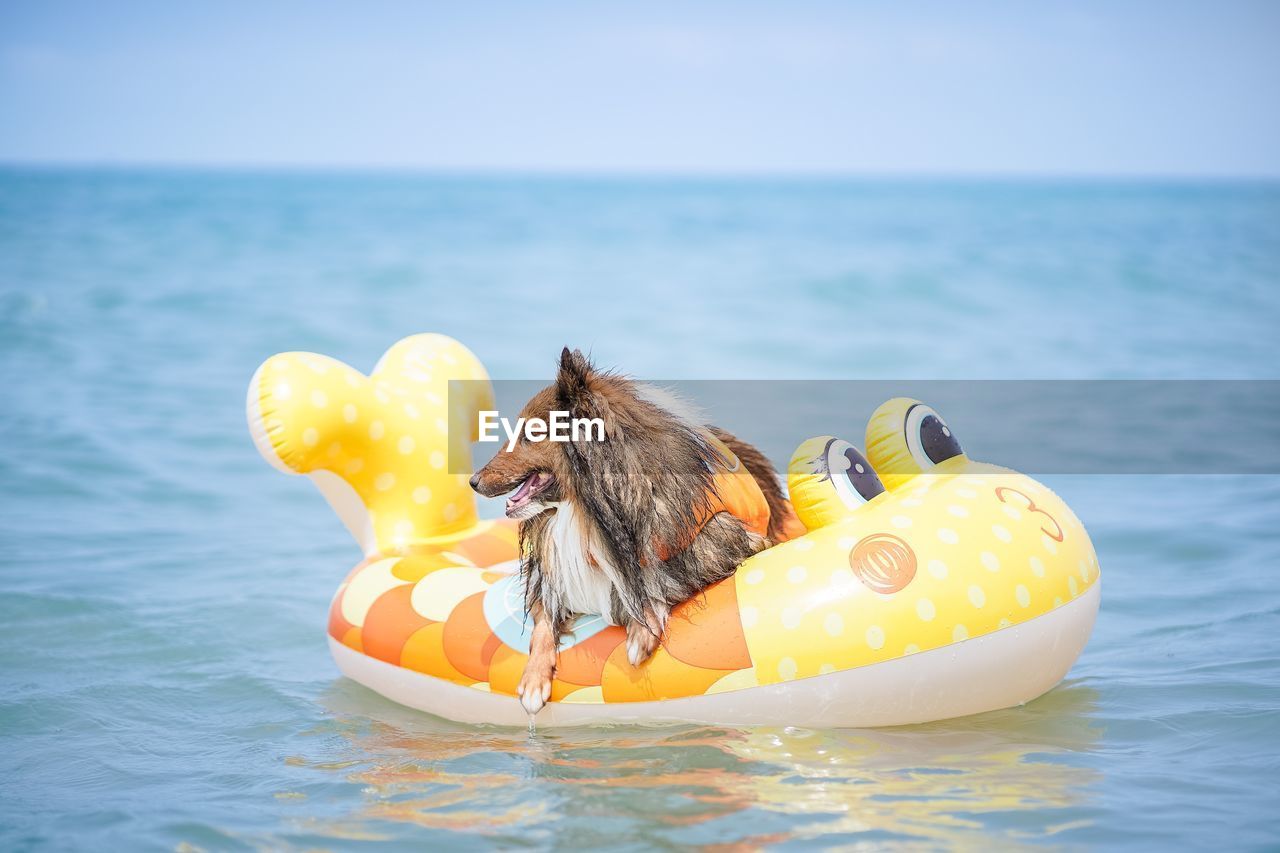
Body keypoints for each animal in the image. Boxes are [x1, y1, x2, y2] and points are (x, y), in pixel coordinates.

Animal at [471, 345, 788, 712]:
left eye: (529, 435)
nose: (472, 481)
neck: (587, 515)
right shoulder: (552, 580)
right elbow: (542, 625)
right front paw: (533, 680)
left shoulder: (727, 539)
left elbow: (663, 579)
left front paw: (641, 633)